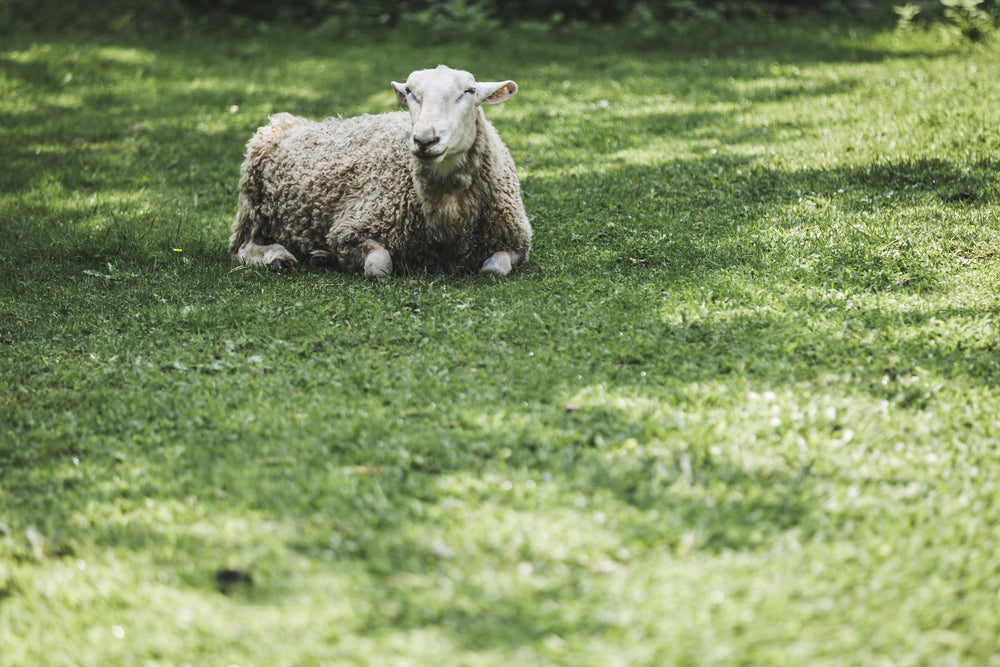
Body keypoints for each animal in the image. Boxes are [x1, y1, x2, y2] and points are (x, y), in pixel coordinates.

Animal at [231, 64, 536, 276]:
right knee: (243, 248)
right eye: (410, 93)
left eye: (469, 91)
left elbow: (493, 270)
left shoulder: (515, 242)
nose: (425, 140)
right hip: (254, 210)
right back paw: (278, 258)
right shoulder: (351, 229)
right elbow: (379, 267)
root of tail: (283, 120)